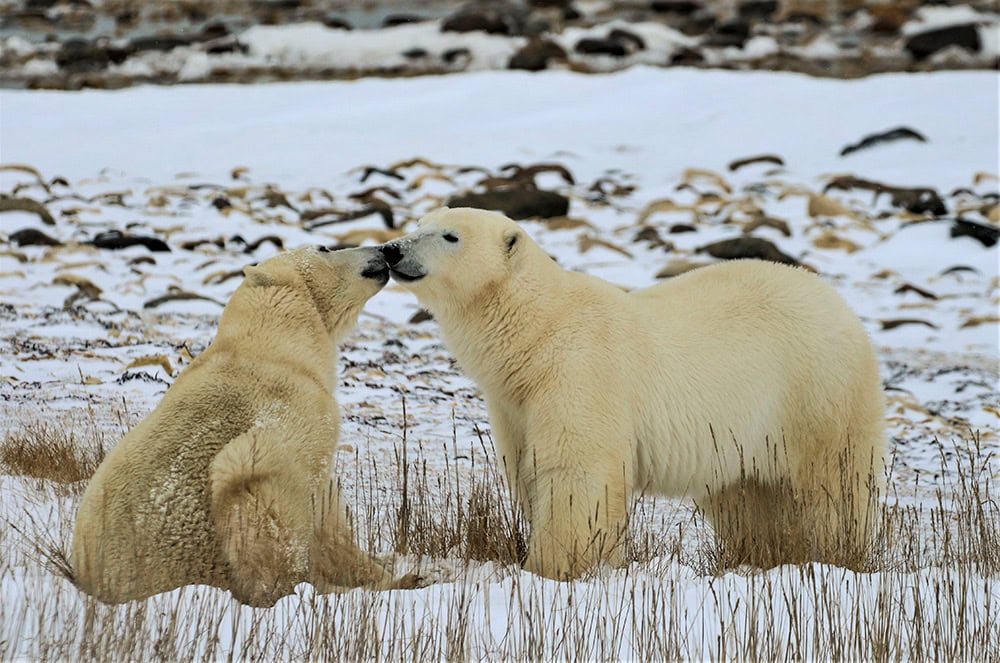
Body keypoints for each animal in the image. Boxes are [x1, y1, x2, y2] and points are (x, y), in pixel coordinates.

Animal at [72, 245, 415, 606]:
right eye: (323, 248)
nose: (384, 249)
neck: (274, 346)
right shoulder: (296, 414)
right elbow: (313, 505)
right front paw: (390, 575)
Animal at [379, 207, 886, 580]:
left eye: (450, 236)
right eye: (418, 223)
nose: (391, 249)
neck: (536, 333)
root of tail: (838, 304)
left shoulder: (581, 371)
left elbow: (575, 470)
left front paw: (553, 567)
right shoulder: (514, 402)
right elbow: (528, 468)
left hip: (816, 391)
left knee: (833, 484)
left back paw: (835, 553)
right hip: (746, 433)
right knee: (747, 498)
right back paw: (765, 557)